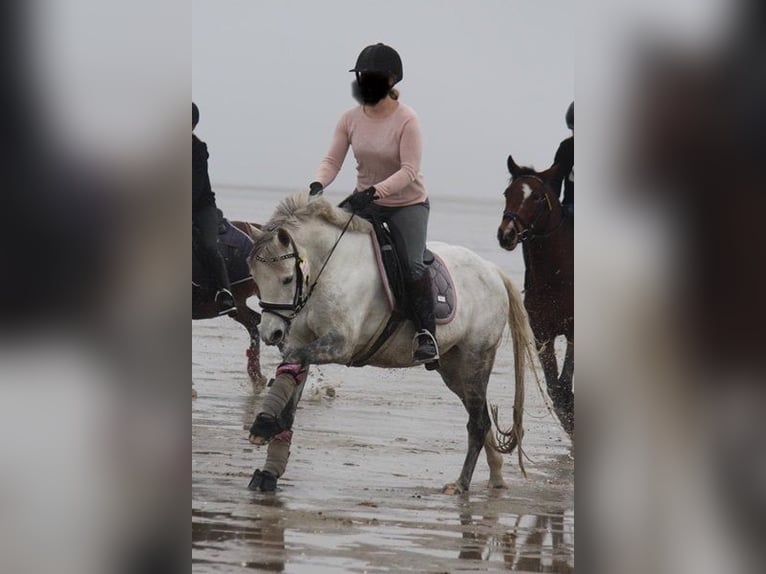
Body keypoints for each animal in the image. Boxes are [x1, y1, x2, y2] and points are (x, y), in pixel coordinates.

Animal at [500, 156, 572, 436]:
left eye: (538, 197)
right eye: (507, 193)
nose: (506, 234)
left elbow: (564, 385)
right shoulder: (542, 333)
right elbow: (556, 389)